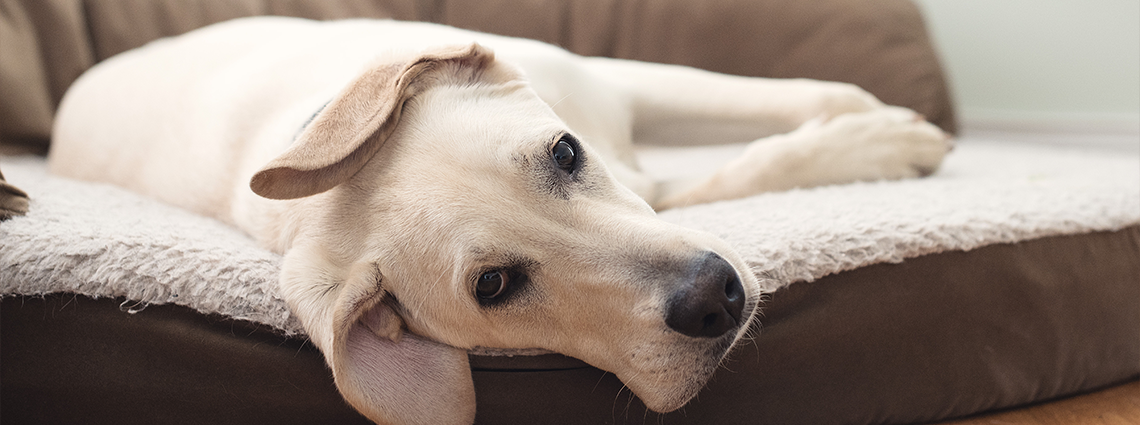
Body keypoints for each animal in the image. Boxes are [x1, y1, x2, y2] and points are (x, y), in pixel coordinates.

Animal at [46, 14, 953, 421]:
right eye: (495, 285)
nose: (715, 298)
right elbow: (740, 167)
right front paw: (876, 142)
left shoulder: (615, 90)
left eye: (565, 153)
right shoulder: (664, 188)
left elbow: (776, 100)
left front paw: (874, 121)